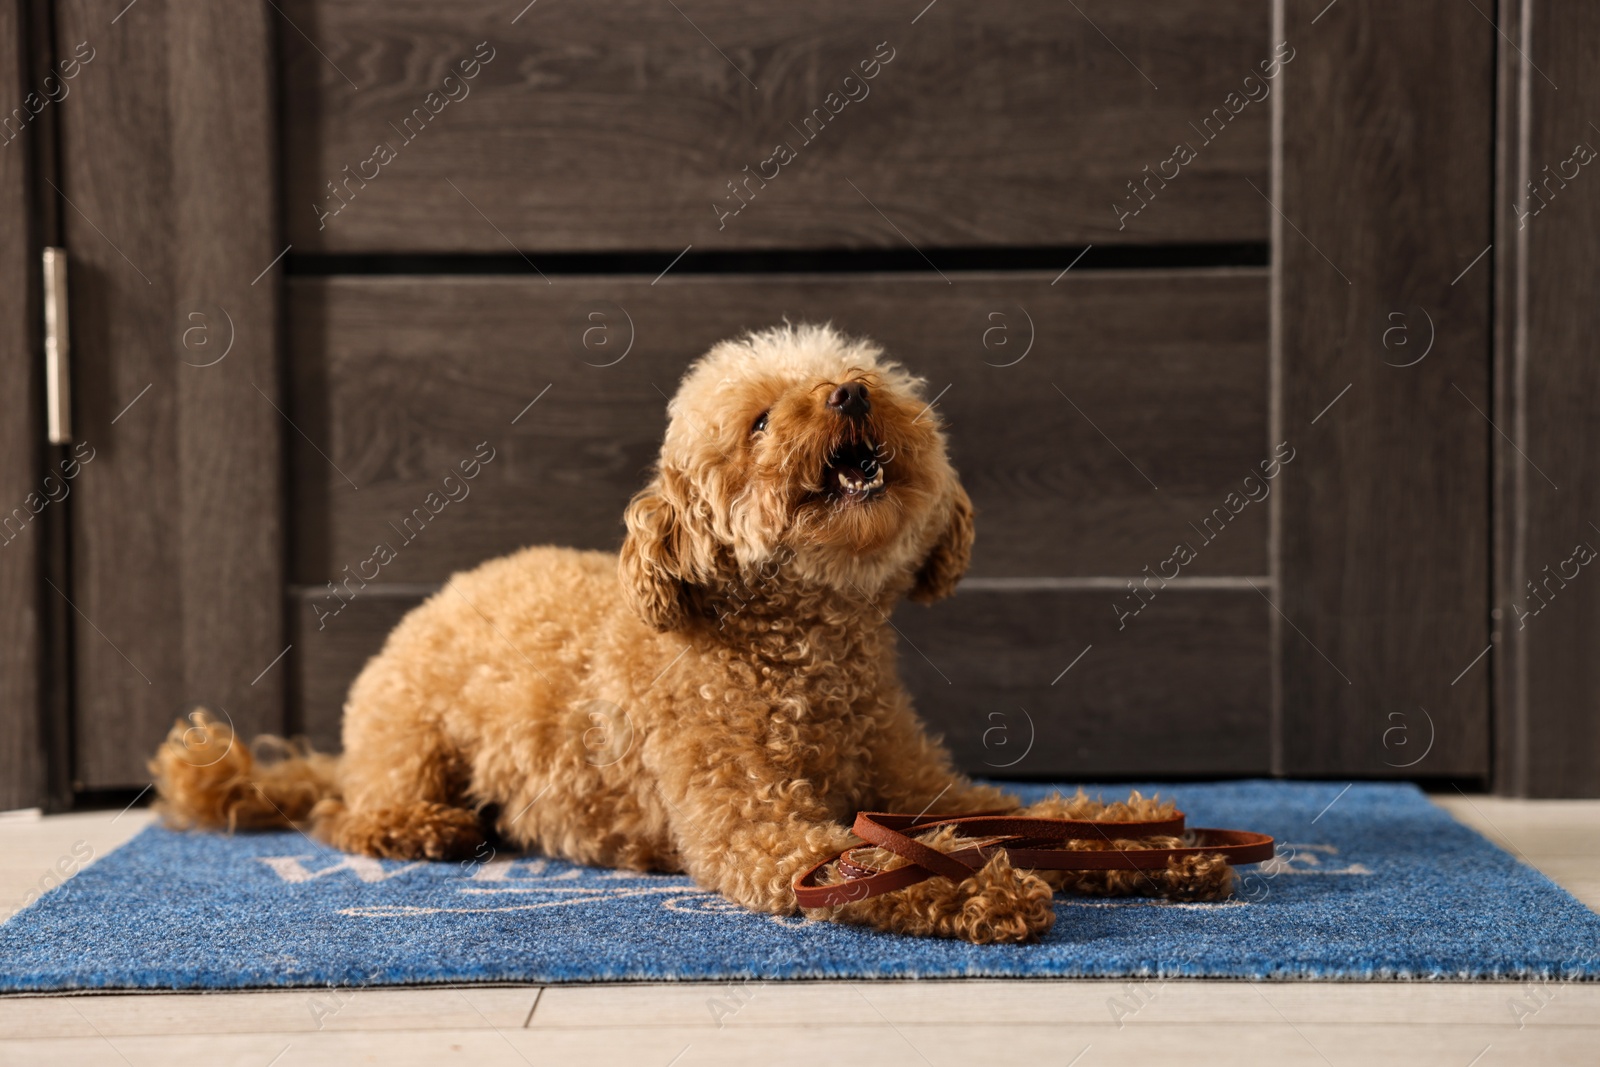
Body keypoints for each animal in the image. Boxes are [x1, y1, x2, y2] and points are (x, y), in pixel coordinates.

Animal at [152, 321, 1222, 940]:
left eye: (856, 374)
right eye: (758, 423)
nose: (849, 394)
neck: (806, 655)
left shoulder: (924, 786)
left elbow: (1039, 815)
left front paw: (1151, 842)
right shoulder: (755, 823)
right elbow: (867, 860)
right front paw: (983, 889)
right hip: (410, 737)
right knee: (342, 812)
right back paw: (423, 830)